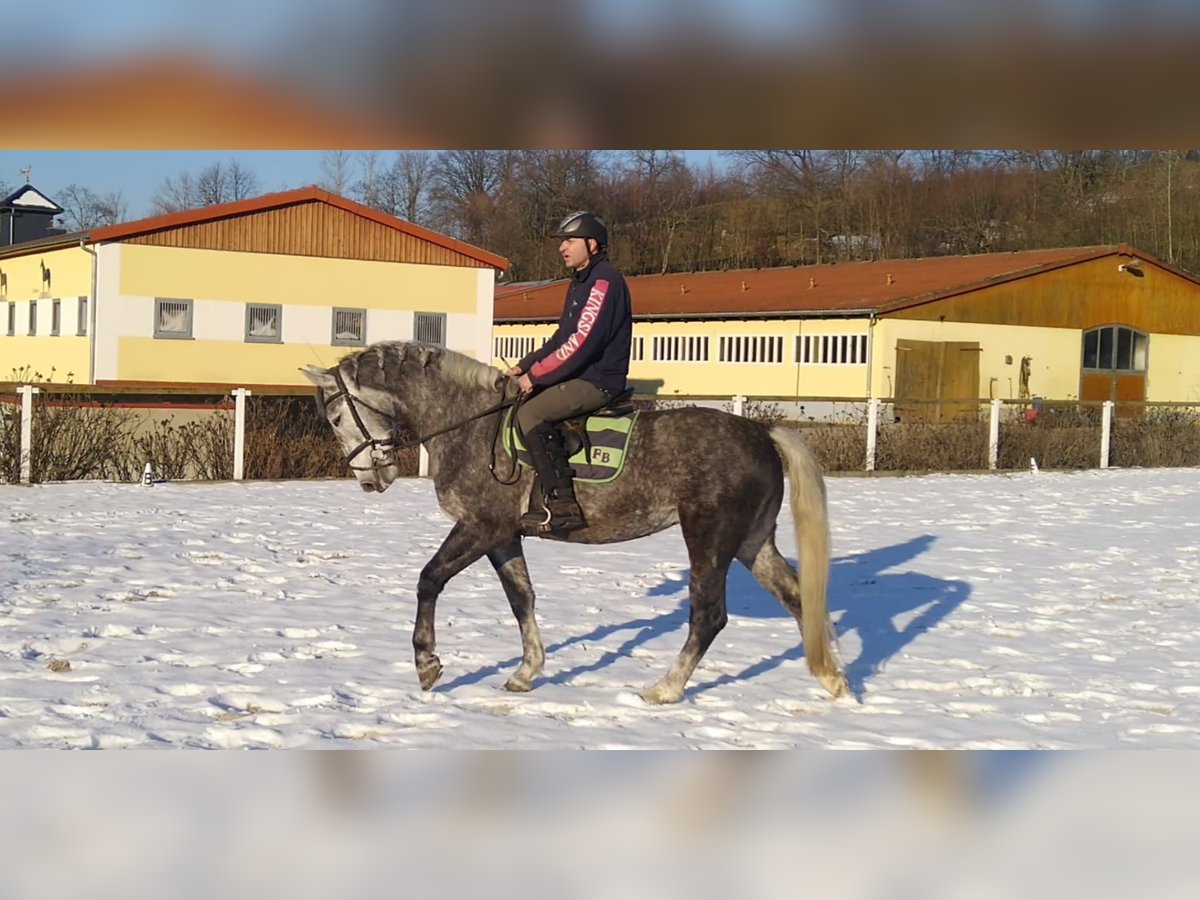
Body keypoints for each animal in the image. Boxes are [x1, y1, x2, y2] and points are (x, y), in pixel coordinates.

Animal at [302, 340, 844, 710]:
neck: (468, 424)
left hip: (708, 538)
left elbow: (429, 579)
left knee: (709, 615)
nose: (369, 479)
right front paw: (526, 672)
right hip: (752, 541)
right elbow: (521, 598)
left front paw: (427, 664)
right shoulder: (503, 535)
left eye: (335, 417)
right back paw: (833, 678)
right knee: (798, 597)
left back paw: (665, 689)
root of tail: (762, 432)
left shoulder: (479, 526)